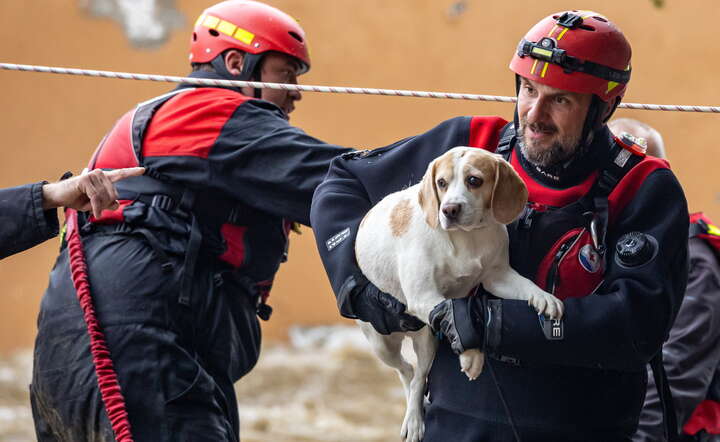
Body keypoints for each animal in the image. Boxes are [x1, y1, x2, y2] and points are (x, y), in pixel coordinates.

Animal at [354, 146, 564, 442]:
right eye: (441, 183)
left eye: (474, 180)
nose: (449, 209)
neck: (467, 237)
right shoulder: (424, 296)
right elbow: (454, 312)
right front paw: (472, 356)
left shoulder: (498, 278)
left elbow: (525, 287)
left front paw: (544, 298)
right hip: (382, 344)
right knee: (408, 374)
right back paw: (414, 420)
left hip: (426, 342)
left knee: (417, 376)